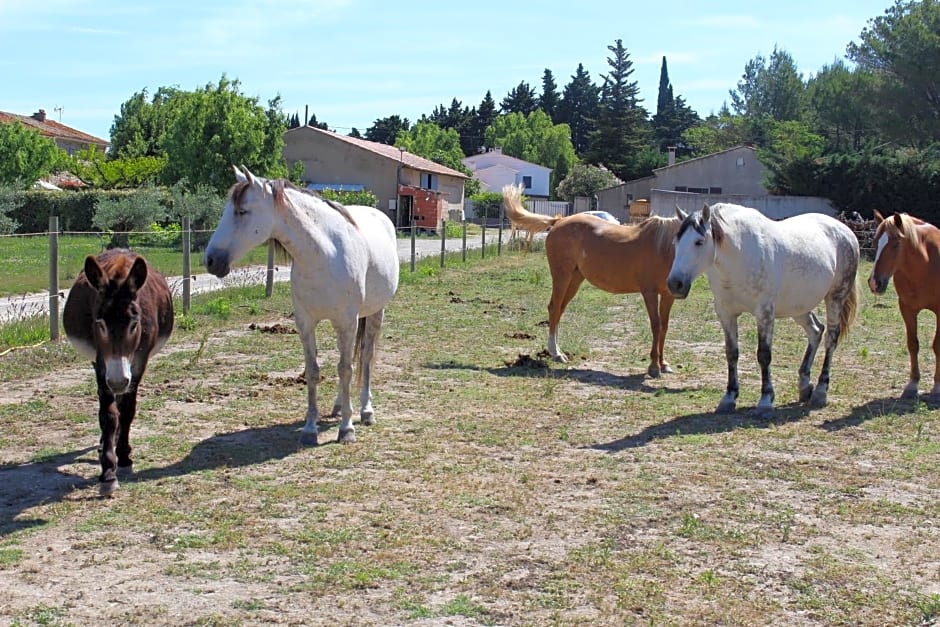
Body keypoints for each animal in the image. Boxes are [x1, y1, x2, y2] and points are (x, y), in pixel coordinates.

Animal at [63, 249, 173, 496]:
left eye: (134, 323)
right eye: (100, 323)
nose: (117, 381)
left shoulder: (139, 361)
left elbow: (128, 410)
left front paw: (123, 458)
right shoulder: (101, 361)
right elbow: (108, 415)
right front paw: (108, 472)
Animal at [204, 164, 398, 444]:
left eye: (242, 211)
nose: (210, 261)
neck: (323, 255)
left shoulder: (347, 322)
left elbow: (347, 369)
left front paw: (346, 429)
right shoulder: (305, 323)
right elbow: (314, 370)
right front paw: (309, 429)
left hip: (374, 313)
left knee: (365, 358)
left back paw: (365, 411)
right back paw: (339, 406)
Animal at [504, 184, 680, 376]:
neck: (663, 247)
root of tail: (558, 221)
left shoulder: (668, 295)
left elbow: (664, 326)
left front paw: (663, 364)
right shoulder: (649, 293)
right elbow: (656, 325)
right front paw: (654, 367)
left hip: (575, 279)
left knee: (559, 310)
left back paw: (557, 351)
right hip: (562, 276)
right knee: (554, 308)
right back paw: (556, 353)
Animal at [660, 202, 860, 418]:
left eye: (699, 242)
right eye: (676, 242)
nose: (675, 284)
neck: (739, 255)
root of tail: (846, 231)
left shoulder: (764, 313)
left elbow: (764, 355)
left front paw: (765, 400)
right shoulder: (726, 313)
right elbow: (731, 353)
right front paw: (729, 397)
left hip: (835, 298)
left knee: (830, 339)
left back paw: (821, 391)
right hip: (798, 307)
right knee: (816, 331)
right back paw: (805, 386)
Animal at [868, 211, 940, 398]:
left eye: (895, 244)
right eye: (874, 243)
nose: (874, 283)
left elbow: (937, 345)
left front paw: (937, 386)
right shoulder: (907, 309)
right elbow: (913, 344)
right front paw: (912, 385)